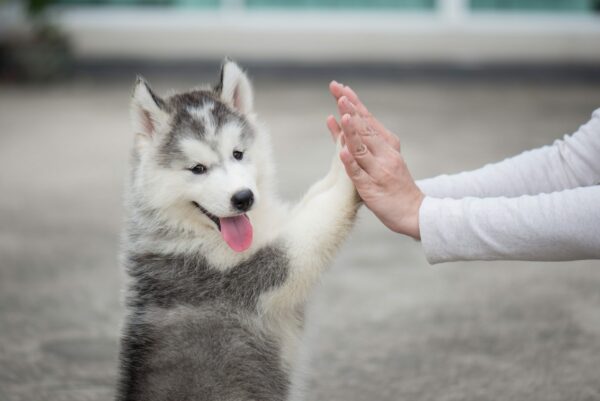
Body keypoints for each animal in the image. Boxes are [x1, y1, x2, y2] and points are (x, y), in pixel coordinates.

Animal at [118, 61, 360, 400]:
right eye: (197, 169)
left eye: (238, 153)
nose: (244, 198)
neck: (196, 234)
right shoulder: (252, 272)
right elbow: (321, 218)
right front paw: (357, 159)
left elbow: (316, 197)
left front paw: (348, 143)